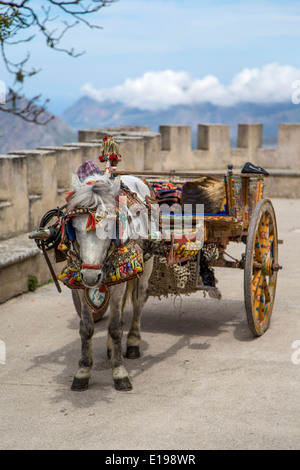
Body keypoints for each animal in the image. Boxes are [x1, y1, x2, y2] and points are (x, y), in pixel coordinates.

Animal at [67, 173, 155, 392]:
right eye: (75, 228)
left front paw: (119, 373)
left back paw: (132, 342)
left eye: (109, 227)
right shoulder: (81, 283)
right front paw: (83, 371)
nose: (91, 277)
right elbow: (86, 327)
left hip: (147, 263)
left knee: (139, 300)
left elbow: (115, 327)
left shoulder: (119, 282)